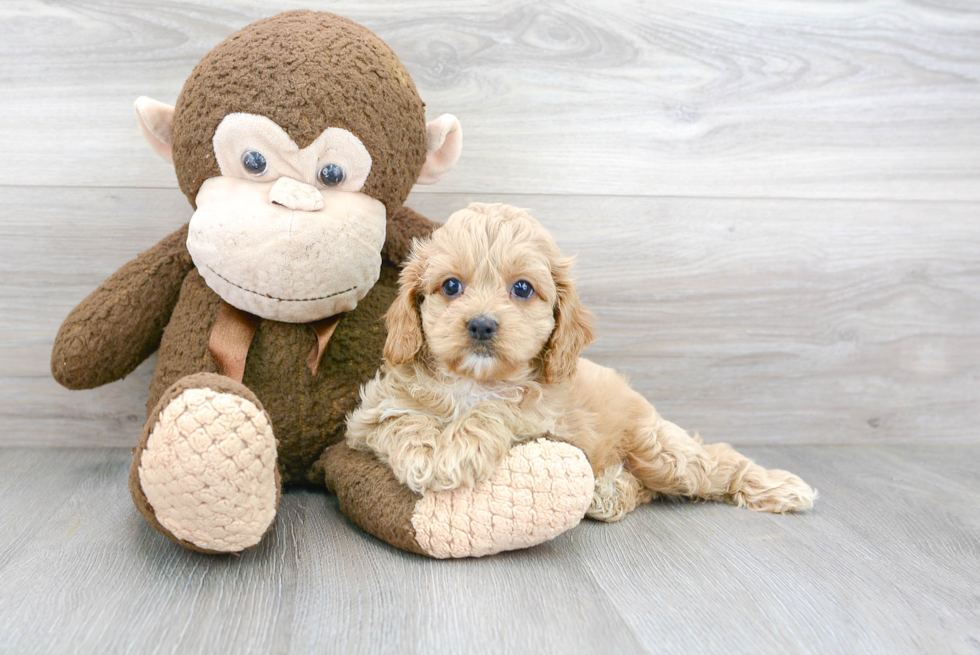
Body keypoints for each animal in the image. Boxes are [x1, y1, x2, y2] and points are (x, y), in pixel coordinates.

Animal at [348, 202, 816, 520]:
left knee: (712, 460)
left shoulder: (549, 422)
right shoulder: (366, 419)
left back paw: (781, 487)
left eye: (522, 288)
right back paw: (610, 491)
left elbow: (500, 408)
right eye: (450, 286)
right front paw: (424, 452)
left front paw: (458, 449)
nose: (481, 326)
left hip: (659, 452)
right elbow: (400, 419)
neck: (472, 382)